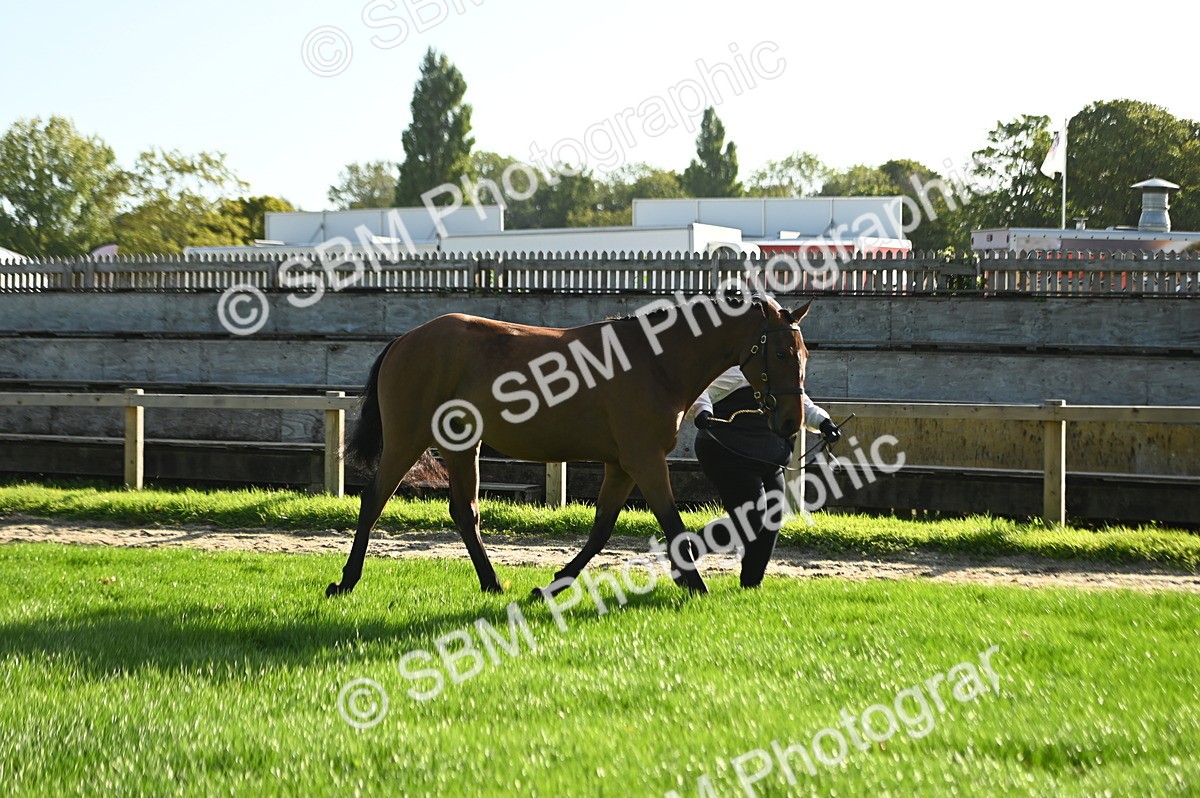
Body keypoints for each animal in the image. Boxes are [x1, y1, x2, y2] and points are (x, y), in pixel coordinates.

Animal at [325, 294, 813, 598]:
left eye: (804, 354)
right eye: (782, 354)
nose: (792, 421)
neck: (655, 362)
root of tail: (405, 340)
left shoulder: (622, 466)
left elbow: (601, 529)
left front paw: (552, 585)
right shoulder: (645, 460)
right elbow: (674, 527)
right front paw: (696, 585)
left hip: (462, 446)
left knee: (465, 513)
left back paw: (492, 583)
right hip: (407, 440)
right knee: (373, 500)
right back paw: (345, 581)